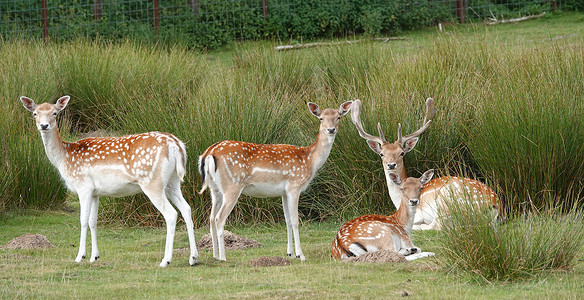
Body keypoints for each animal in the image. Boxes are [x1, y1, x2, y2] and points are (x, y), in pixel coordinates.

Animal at [20, 95, 198, 268]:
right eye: (35, 113)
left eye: (55, 113)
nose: (43, 125)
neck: (64, 157)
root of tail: (177, 146)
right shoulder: (95, 192)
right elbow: (93, 221)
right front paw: (94, 257)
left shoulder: (83, 186)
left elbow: (83, 220)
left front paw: (79, 257)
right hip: (172, 182)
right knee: (187, 209)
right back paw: (193, 258)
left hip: (152, 182)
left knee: (171, 214)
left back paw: (165, 260)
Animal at [350, 98, 500, 230]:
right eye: (382, 154)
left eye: (401, 153)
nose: (391, 165)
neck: (398, 200)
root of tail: (496, 205)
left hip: (447, 201)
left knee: (437, 226)